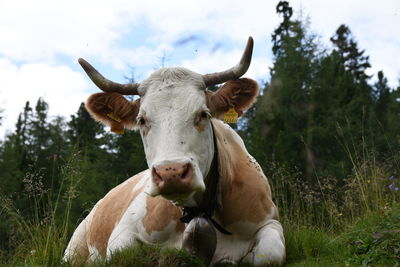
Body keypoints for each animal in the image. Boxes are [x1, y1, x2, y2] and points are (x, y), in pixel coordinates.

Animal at [64, 37, 286, 266]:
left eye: (203, 114)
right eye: (141, 120)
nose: (171, 172)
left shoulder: (270, 221)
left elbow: (269, 253)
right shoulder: (123, 232)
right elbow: (124, 256)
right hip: (75, 245)